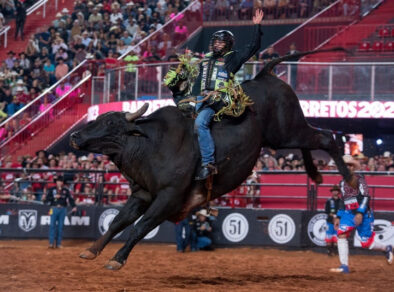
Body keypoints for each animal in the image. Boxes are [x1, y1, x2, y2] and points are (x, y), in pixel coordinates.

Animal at [70, 48, 350, 270]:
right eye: (97, 119)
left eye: (109, 123)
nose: (74, 135)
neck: (150, 145)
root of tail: (265, 74)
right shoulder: (142, 194)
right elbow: (117, 221)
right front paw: (91, 250)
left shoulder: (169, 197)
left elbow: (140, 226)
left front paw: (117, 259)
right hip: (287, 134)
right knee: (315, 138)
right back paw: (316, 173)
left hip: (287, 131)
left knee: (326, 138)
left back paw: (351, 180)